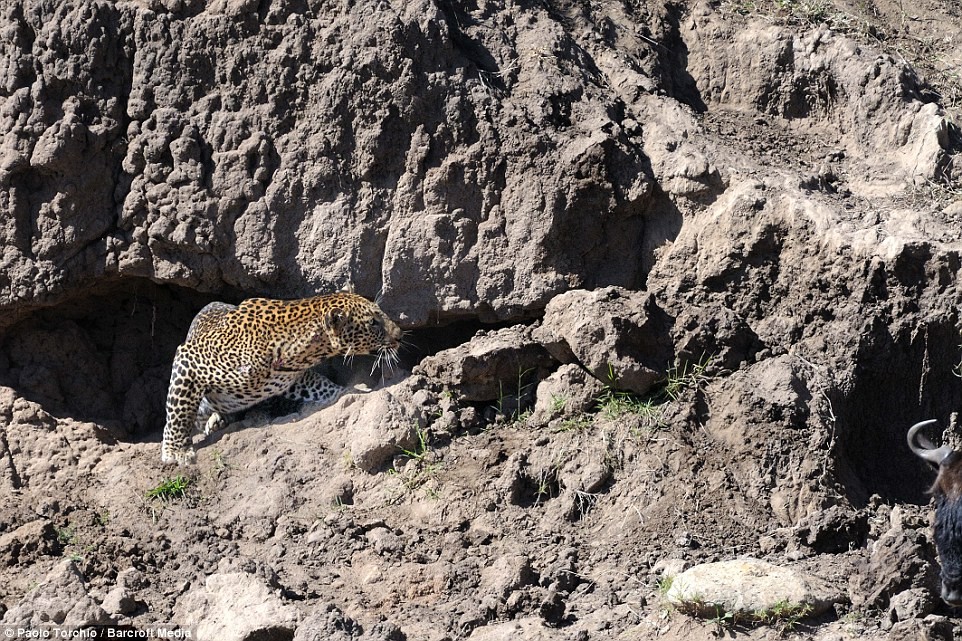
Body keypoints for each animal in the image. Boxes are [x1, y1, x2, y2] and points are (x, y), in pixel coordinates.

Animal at [161, 292, 402, 464]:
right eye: (373, 322)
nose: (400, 334)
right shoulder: (189, 359)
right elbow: (179, 411)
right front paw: (175, 451)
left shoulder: (292, 380)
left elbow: (322, 386)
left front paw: (348, 392)